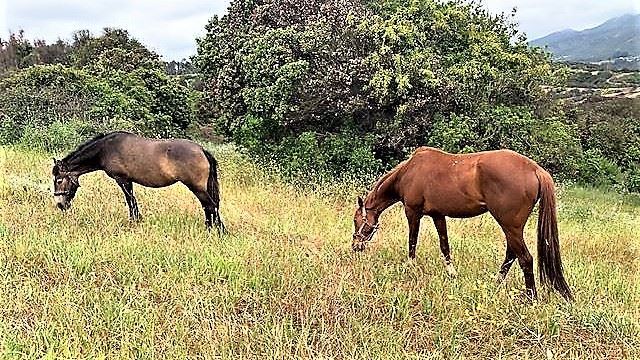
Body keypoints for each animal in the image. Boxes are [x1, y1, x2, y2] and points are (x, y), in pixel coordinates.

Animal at [53, 131, 226, 232]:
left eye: (59, 180)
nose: (60, 205)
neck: (106, 149)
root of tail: (202, 150)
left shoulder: (123, 180)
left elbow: (130, 200)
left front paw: (134, 221)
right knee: (209, 207)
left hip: (197, 188)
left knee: (211, 206)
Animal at [352, 146, 572, 300]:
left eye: (356, 221)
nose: (355, 246)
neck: (408, 172)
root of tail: (535, 169)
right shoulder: (438, 215)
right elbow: (444, 245)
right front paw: (451, 273)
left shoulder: (412, 213)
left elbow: (412, 242)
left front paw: (410, 267)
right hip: (513, 228)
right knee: (512, 255)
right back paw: (496, 284)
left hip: (509, 225)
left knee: (525, 258)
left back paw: (530, 297)